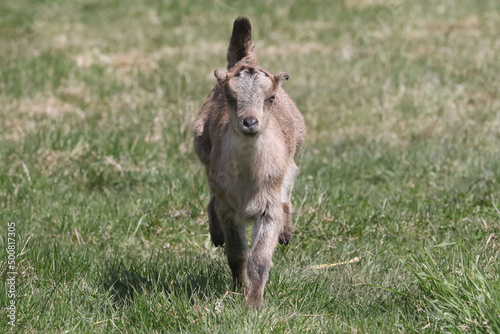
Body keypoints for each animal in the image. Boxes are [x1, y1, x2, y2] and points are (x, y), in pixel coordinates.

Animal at [194, 17, 304, 306]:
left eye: (270, 98)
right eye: (229, 97)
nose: (250, 122)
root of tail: (244, 60)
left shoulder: (268, 207)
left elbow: (259, 259)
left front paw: (254, 304)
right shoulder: (229, 207)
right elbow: (237, 254)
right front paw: (237, 288)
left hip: (294, 154)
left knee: (287, 191)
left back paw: (286, 233)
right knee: (212, 198)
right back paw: (216, 235)